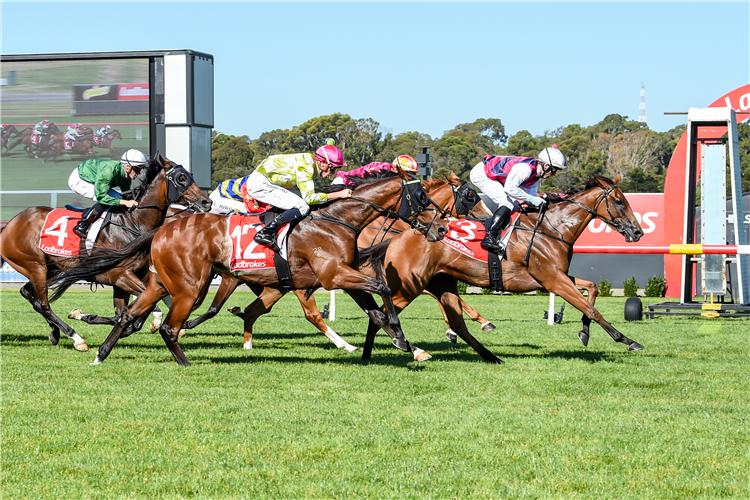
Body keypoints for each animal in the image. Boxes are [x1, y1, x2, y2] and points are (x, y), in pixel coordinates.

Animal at [0, 155, 213, 352]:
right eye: (181, 178)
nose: (207, 201)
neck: (134, 222)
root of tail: (10, 225)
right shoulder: (119, 276)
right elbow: (146, 309)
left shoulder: (127, 280)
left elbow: (124, 313)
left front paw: (87, 317)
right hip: (35, 266)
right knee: (42, 303)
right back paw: (76, 338)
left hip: (49, 268)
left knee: (29, 295)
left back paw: (55, 332)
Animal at [50, 170, 450, 366]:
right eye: (422, 197)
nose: (442, 229)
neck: (340, 220)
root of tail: (162, 228)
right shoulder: (333, 274)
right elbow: (382, 290)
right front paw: (400, 339)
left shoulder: (340, 277)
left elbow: (377, 308)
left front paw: (407, 344)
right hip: (189, 285)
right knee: (166, 325)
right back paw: (183, 362)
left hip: (163, 282)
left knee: (131, 315)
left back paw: (100, 353)